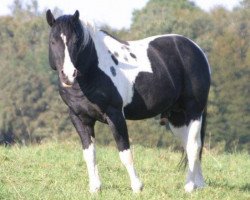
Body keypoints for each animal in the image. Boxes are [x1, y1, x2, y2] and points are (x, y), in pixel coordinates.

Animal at [46, 10, 210, 193]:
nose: (68, 75)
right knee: (191, 145)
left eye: (76, 41)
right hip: (177, 118)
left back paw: (189, 186)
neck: (93, 70)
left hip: (193, 111)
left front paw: (137, 186)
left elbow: (125, 153)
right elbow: (89, 154)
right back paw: (199, 184)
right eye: (53, 41)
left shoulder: (115, 115)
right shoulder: (80, 118)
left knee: (193, 146)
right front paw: (95, 188)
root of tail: (196, 49)